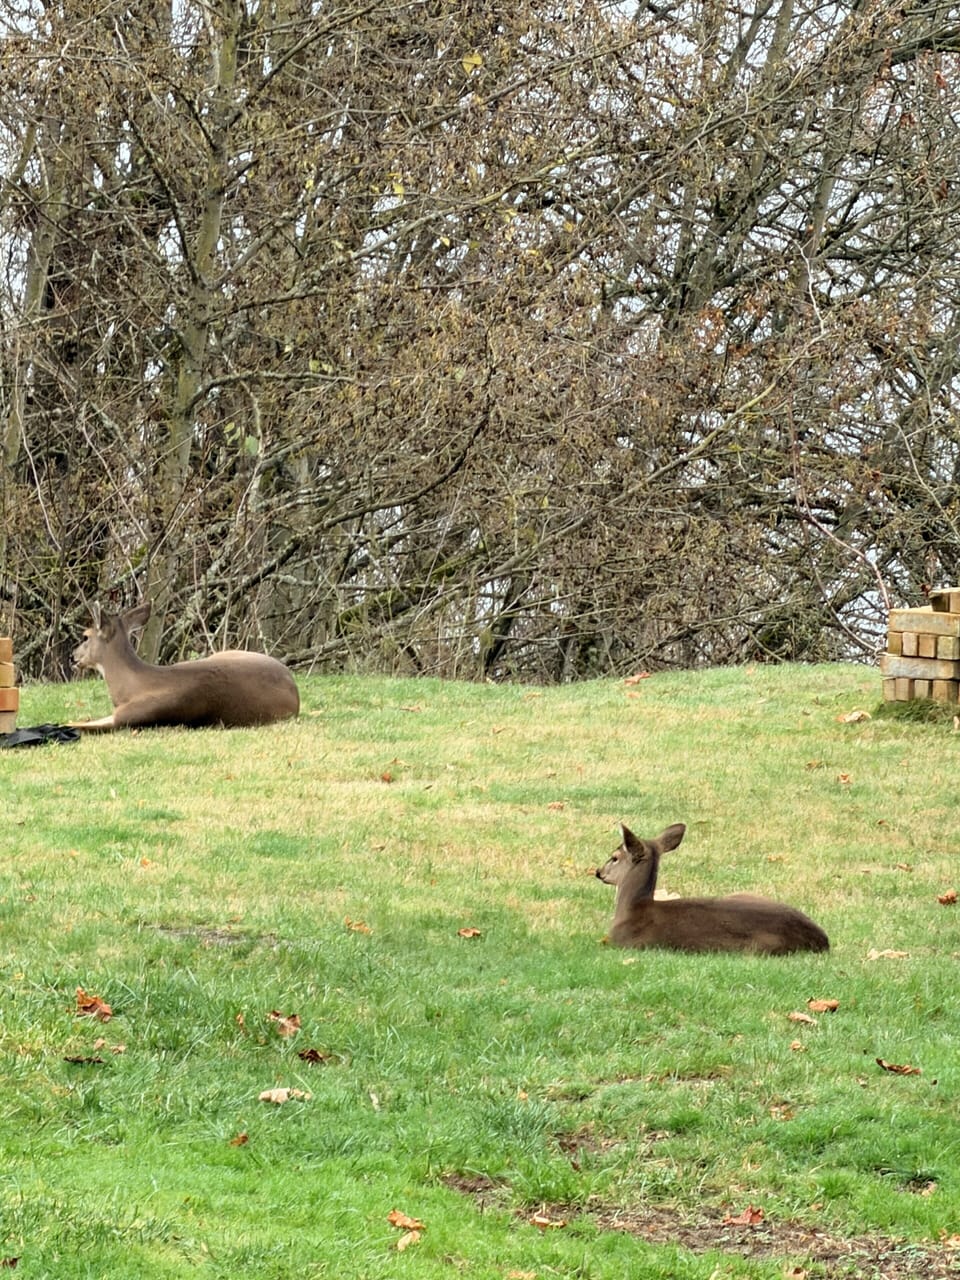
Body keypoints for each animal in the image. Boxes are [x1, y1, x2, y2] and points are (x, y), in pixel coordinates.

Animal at [70, 601, 300, 731]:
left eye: (85, 636)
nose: (72, 657)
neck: (131, 687)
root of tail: (295, 693)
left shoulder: (131, 714)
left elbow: (77, 725)